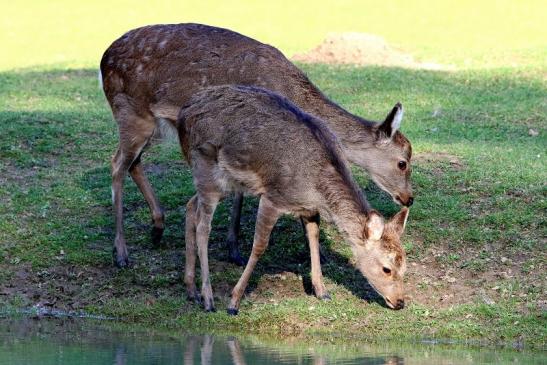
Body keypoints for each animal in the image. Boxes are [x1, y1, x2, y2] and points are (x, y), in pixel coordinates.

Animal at [100, 22, 414, 268]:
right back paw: (121, 253)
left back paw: (157, 227)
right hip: (131, 112)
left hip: (154, 125)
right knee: (116, 164)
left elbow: (240, 193)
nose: (409, 198)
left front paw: (234, 248)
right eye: (403, 162)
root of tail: (104, 58)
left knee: (134, 162)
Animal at [178, 84, 408, 312]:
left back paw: (191, 290)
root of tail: (183, 114)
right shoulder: (273, 197)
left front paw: (321, 291)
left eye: (404, 265)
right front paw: (234, 302)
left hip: (227, 183)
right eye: (386, 268)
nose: (400, 302)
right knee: (203, 228)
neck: (317, 191)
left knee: (190, 206)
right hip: (205, 167)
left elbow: (313, 239)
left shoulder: (308, 208)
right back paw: (208, 299)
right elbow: (259, 246)